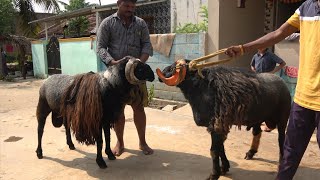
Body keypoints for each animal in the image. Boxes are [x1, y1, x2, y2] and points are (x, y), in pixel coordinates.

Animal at [156, 59, 292, 180]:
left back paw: (281, 162)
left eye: (174, 67)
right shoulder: (218, 127)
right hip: (257, 118)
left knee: (281, 139)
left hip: (283, 118)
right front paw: (224, 168)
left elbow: (214, 151)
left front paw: (214, 174)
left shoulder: (217, 125)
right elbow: (221, 148)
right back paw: (250, 153)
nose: (161, 73)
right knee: (257, 132)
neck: (201, 89)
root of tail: (283, 84)